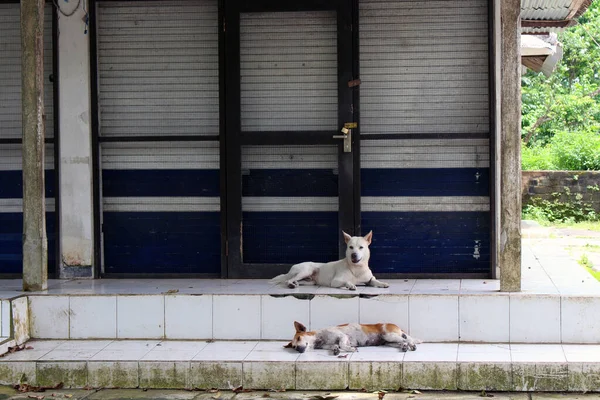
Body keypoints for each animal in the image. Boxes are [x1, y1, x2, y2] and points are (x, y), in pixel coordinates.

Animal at [284, 320, 418, 354]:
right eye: (294, 347)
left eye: (299, 338)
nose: (298, 349)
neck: (319, 339)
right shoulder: (329, 344)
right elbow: (335, 346)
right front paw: (336, 350)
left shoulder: (342, 336)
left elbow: (342, 344)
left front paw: (351, 349)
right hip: (389, 342)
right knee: (402, 342)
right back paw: (405, 347)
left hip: (389, 335)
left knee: (408, 339)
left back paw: (412, 345)